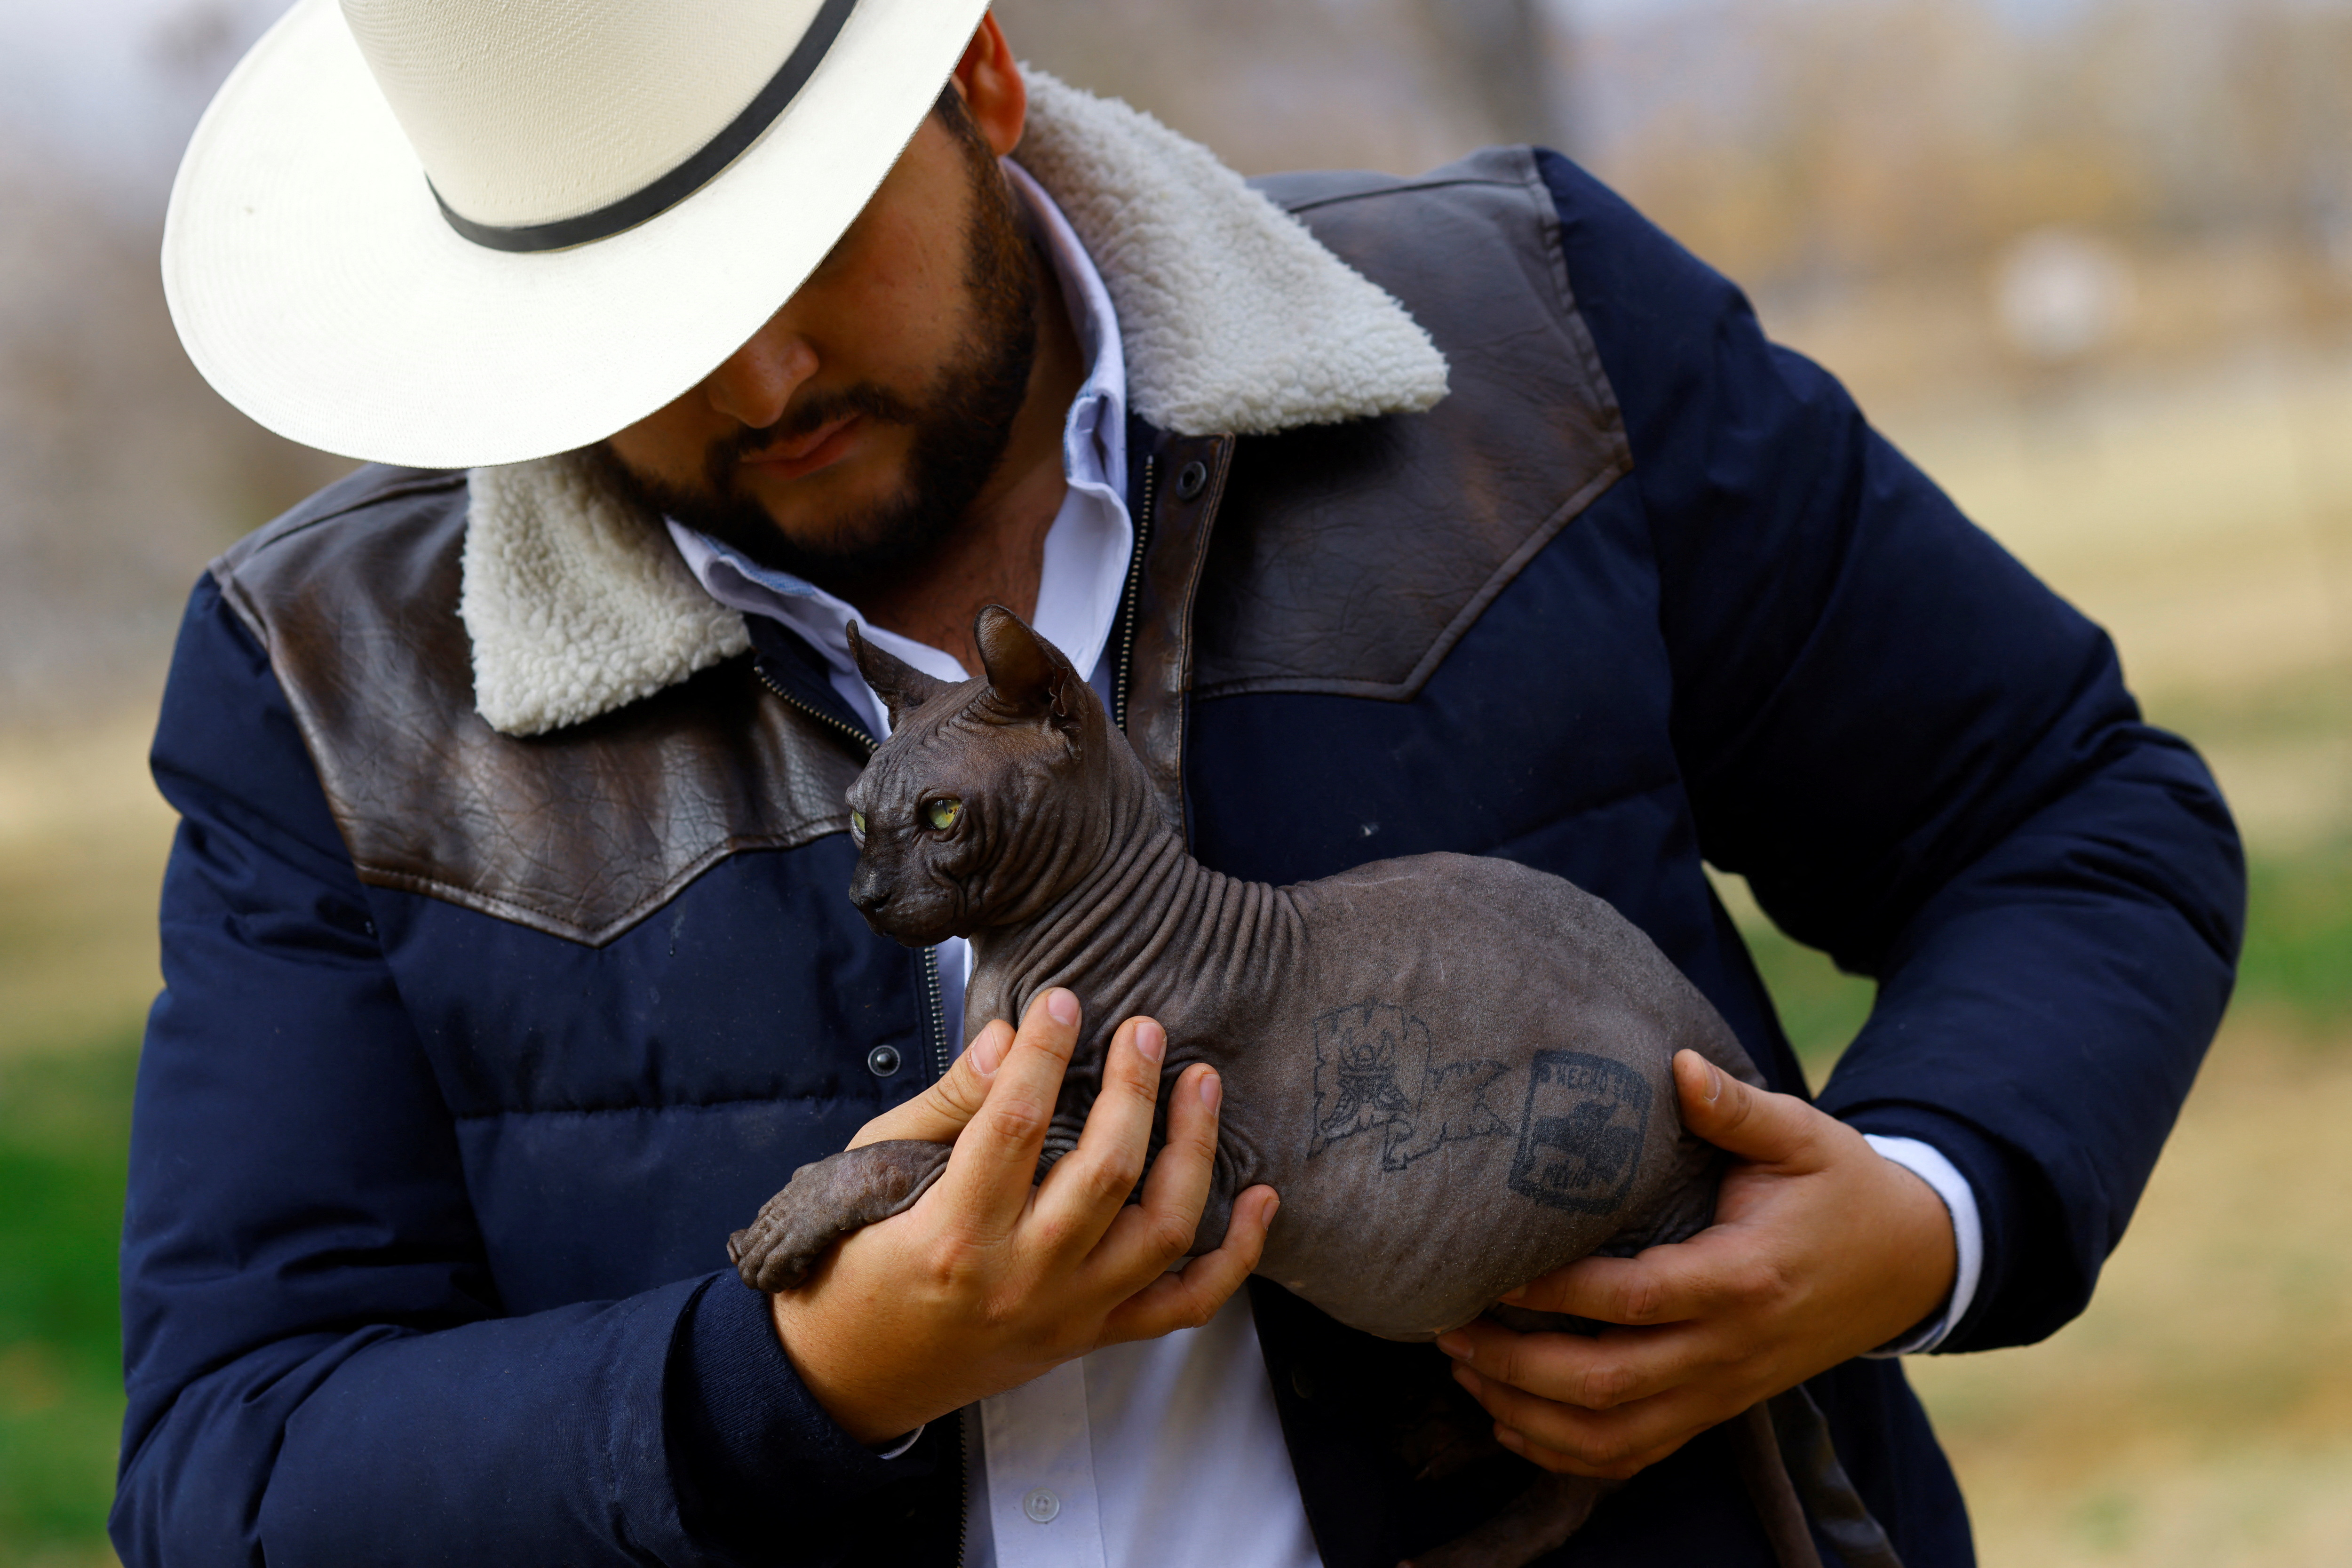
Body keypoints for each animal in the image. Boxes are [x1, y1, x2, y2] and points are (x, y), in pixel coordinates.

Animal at [734, 606, 1910, 1568]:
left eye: (940, 816)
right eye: (857, 818)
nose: (867, 893)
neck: (1020, 965)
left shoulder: (1163, 1163)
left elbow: (918, 1155)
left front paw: (792, 1214)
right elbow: (936, 1140)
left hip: (1598, 1248)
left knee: (1591, 1466)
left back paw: (1453, 1545)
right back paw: (1431, 1432)